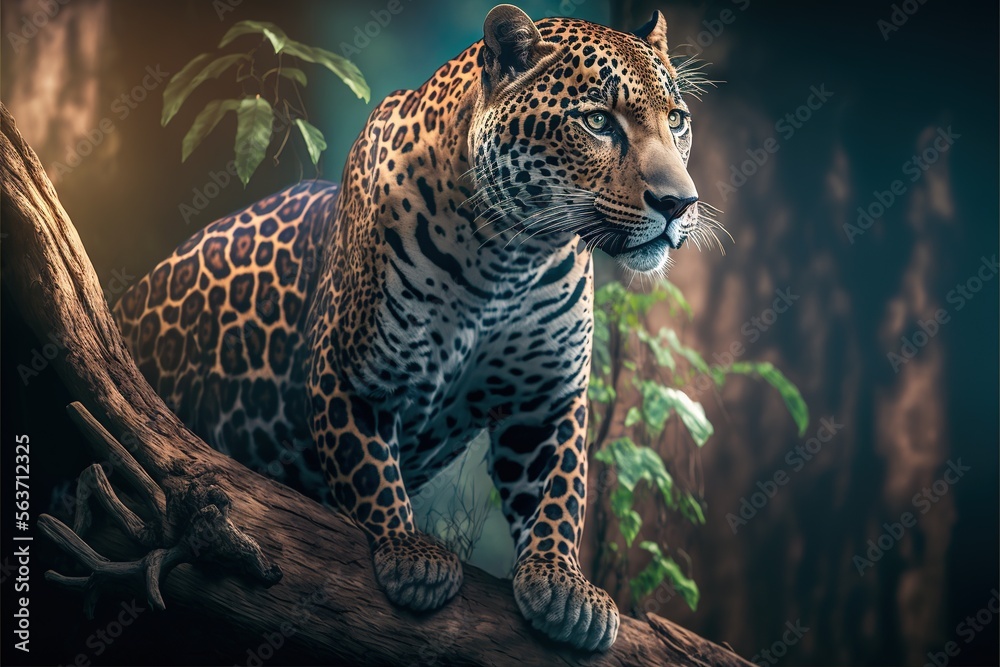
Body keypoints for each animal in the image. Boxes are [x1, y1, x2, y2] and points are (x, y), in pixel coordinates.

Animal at [113, 5, 703, 651]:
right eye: (598, 121)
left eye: (676, 120)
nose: (680, 203)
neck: (508, 257)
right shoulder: (353, 375)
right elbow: (369, 469)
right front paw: (409, 553)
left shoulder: (544, 399)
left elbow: (559, 490)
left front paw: (563, 584)